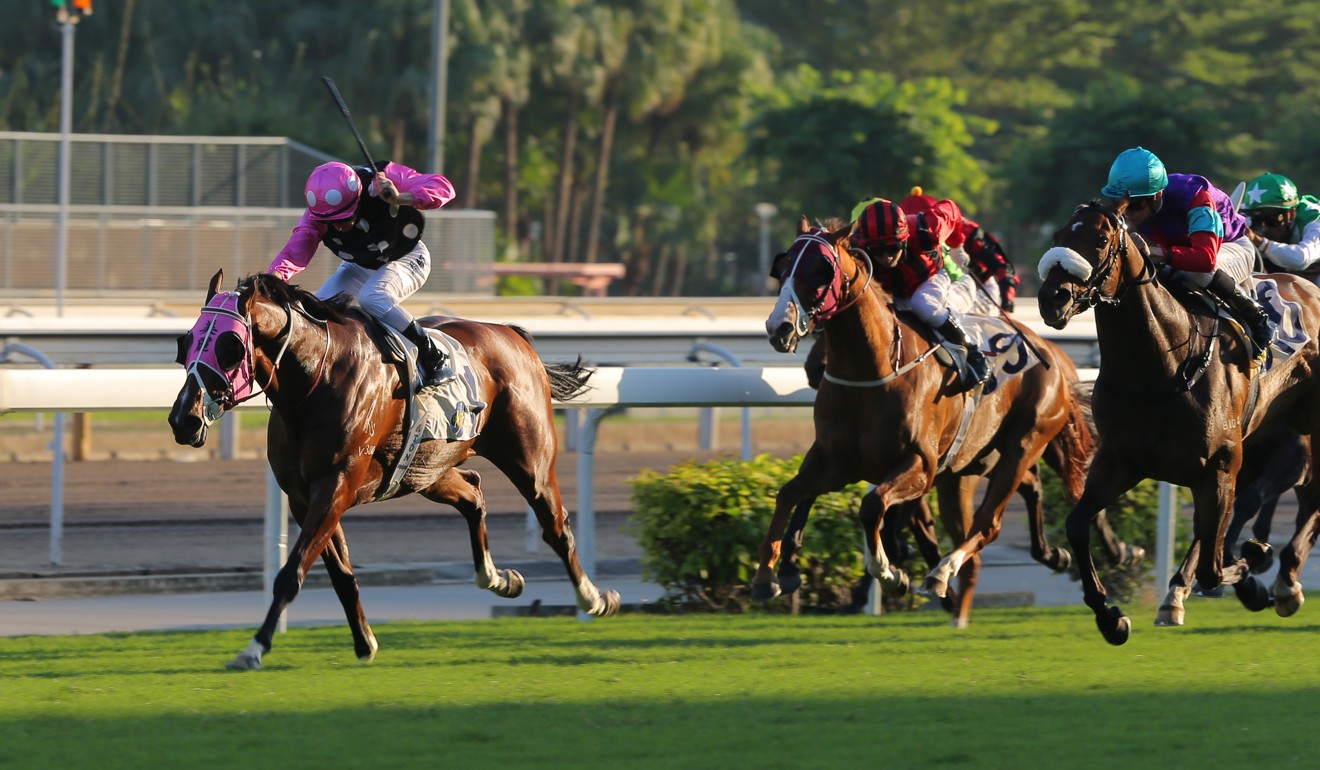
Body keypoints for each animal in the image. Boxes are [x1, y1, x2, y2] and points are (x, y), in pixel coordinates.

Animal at [168, 270, 617, 668]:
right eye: (185, 342)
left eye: (229, 345)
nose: (183, 419)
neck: (314, 380)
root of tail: (512, 335)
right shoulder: (302, 497)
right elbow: (341, 573)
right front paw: (365, 641)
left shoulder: (335, 486)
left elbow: (292, 572)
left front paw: (255, 648)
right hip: (426, 471)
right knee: (473, 492)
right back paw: (498, 578)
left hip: (529, 459)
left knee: (555, 525)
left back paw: (594, 599)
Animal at [755, 217, 1082, 626]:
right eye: (782, 267)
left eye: (821, 269)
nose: (779, 328)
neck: (874, 370)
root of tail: (1051, 351)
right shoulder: (835, 463)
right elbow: (788, 495)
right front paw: (769, 576)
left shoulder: (920, 466)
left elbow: (872, 507)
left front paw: (891, 575)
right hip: (969, 467)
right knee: (1004, 509)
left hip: (1022, 446)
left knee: (988, 524)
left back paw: (941, 576)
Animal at [1034, 200, 1320, 644]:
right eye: (1058, 236)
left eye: (1100, 239)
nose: (1052, 298)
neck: (1159, 366)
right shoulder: (1121, 461)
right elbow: (1079, 525)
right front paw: (1111, 616)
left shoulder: (1223, 464)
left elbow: (1214, 562)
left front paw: (1251, 562)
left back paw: (1282, 578)